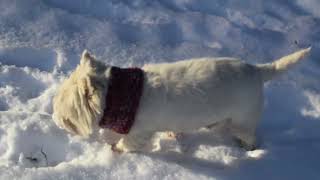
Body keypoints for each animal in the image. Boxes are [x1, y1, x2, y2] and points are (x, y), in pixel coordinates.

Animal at [52, 47, 310, 152]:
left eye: (65, 115)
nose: (53, 119)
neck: (121, 94)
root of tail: (257, 71)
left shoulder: (140, 132)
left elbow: (128, 144)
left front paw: (115, 149)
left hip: (243, 120)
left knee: (249, 136)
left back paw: (248, 149)